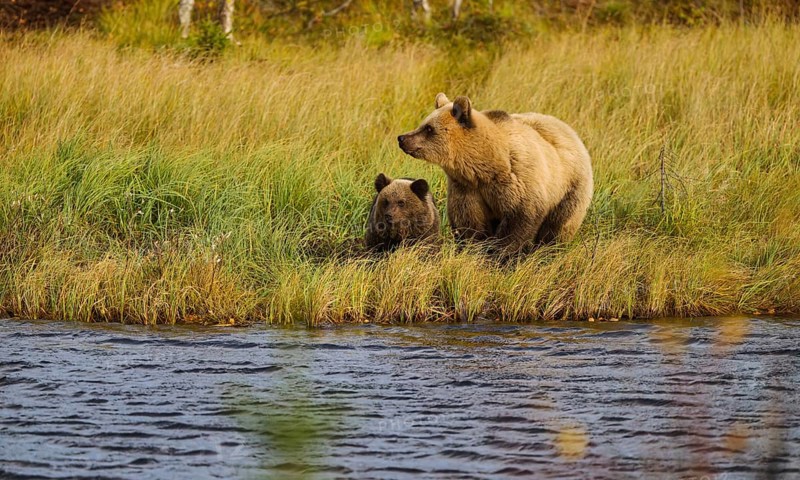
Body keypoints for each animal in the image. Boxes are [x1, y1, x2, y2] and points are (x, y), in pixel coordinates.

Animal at [397, 93, 593, 256]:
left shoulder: (519, 182)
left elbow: (518, 222)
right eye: (423, 124)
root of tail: (569, 129)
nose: (402, 138)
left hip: (570, 187)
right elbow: (469, 223)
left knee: (557, 226)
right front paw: (474, 248)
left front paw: (499, 253)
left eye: (429, 129)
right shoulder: (467, 189)